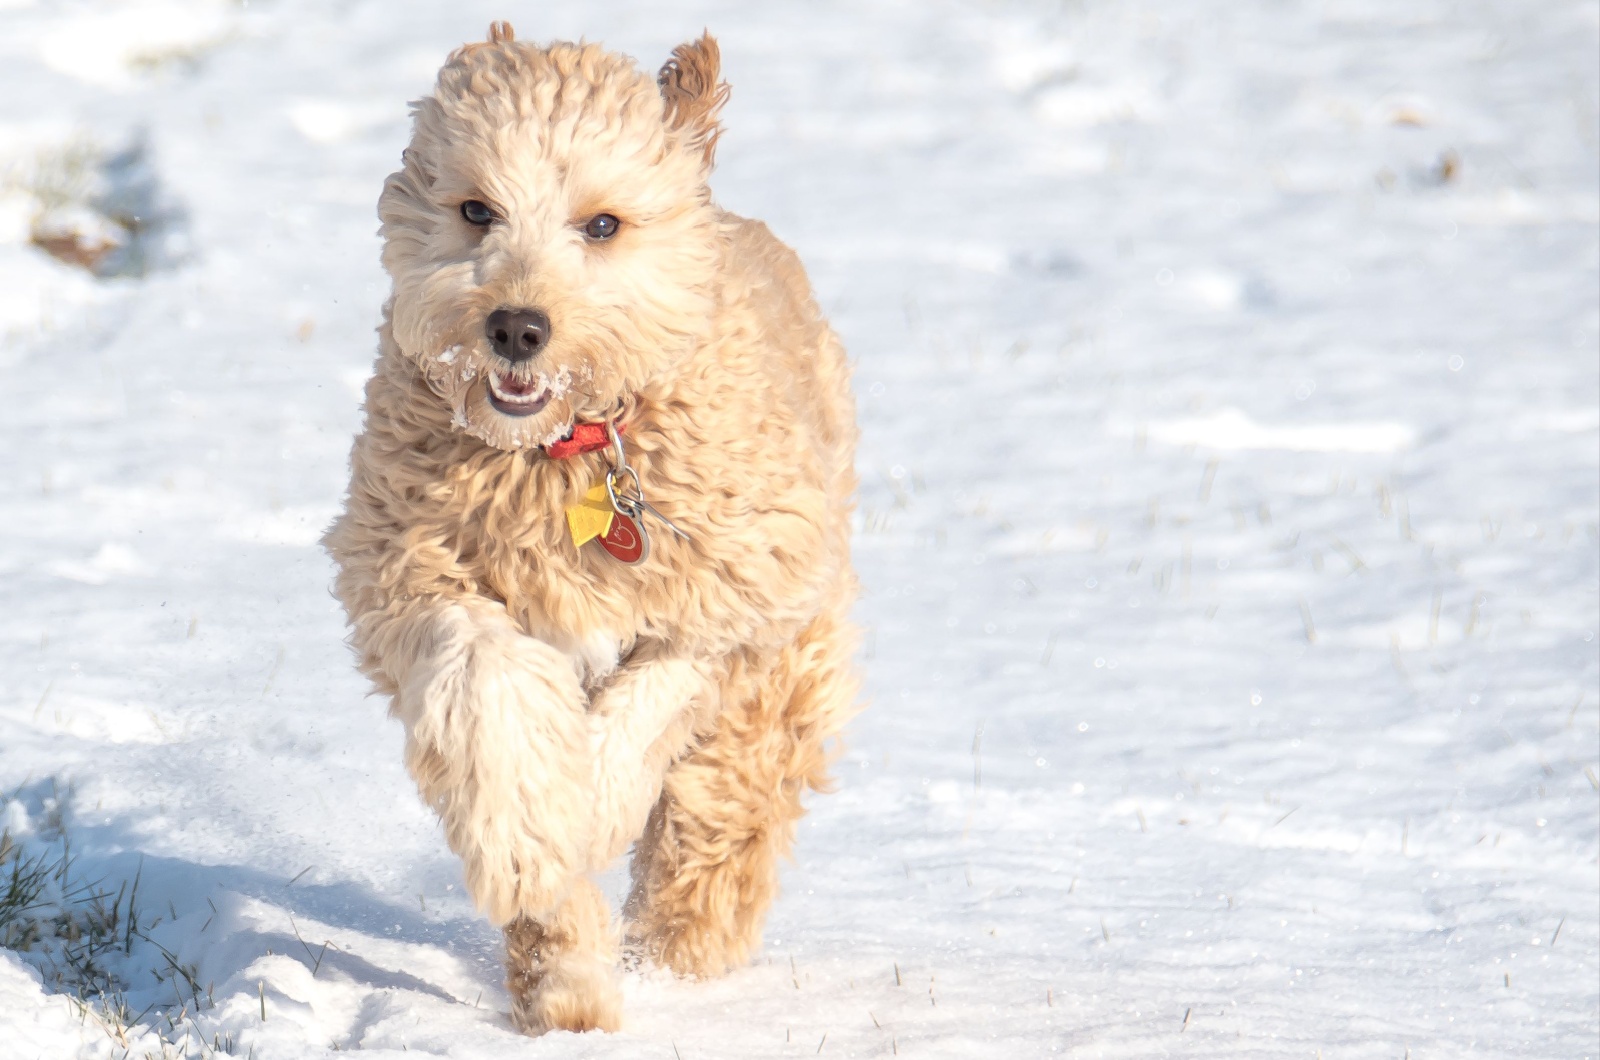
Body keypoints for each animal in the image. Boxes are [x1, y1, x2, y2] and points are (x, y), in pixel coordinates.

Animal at [323, 22, 864, 1037]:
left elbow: (652, 704)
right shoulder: (414, 576)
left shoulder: (738, 594)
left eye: (603, 225)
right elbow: (489, 686)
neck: (561, 457)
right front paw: (529, 837)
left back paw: (683, 954)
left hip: (784, 671)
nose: (517, 327)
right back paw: (567, 989)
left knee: (722, 814)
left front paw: (594, 802)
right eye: (476, 210)